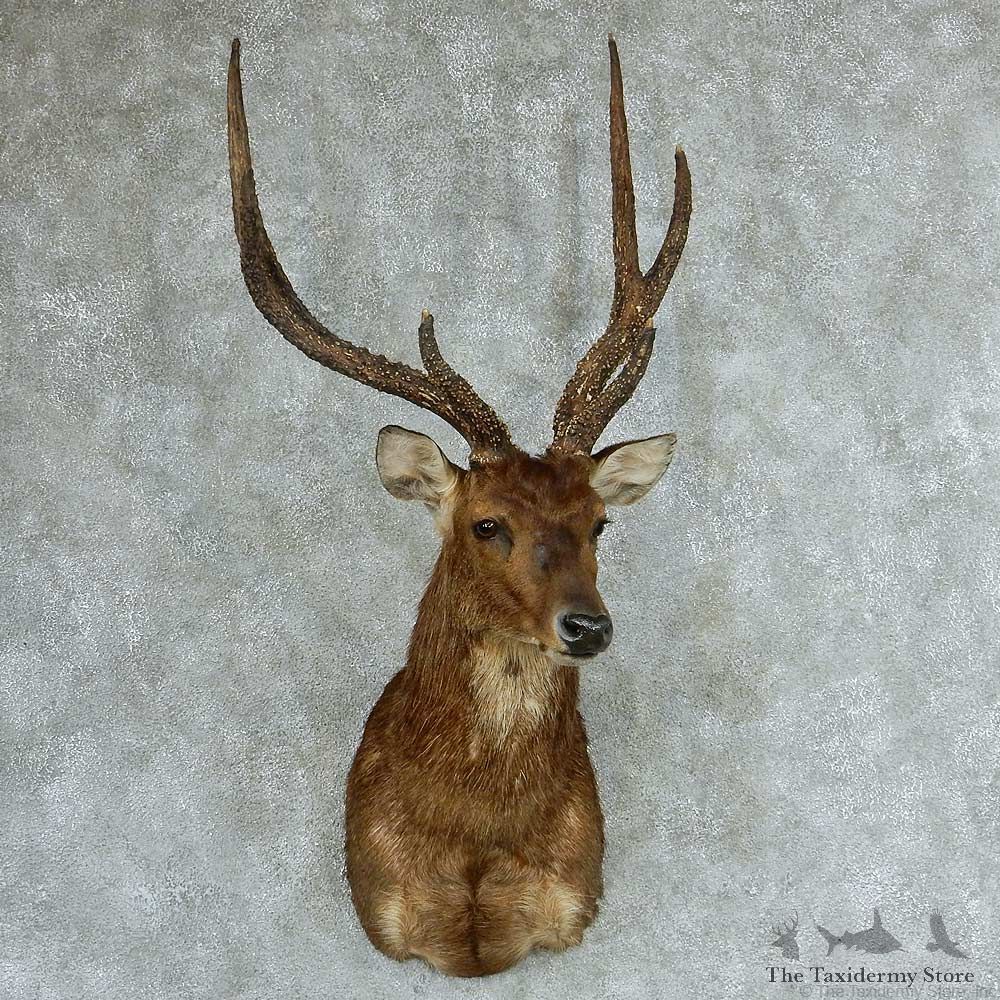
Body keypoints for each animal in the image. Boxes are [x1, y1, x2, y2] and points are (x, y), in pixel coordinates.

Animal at [226, 34, 691, 978]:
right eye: (488, 524)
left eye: (599, 523)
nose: (588, 626)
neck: (476, 842)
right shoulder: (388, 910)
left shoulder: (571, 904)